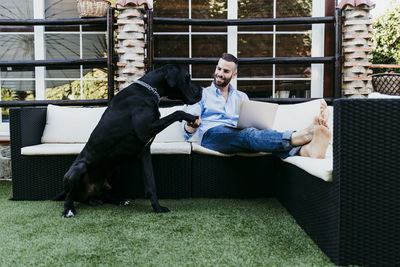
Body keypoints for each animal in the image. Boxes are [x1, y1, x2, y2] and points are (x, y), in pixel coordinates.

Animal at [57, 65, 202, 218]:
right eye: (187, 77)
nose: (201, 90)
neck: (148, 91)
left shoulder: (145, 152)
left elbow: (151, 184)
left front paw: (157, 207)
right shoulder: (145, 131)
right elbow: (177, 112)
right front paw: (190, 117)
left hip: (114, 168)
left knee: (101, 196)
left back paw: (115, 200)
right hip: (78, 169)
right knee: (70, 195)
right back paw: (69, 209)